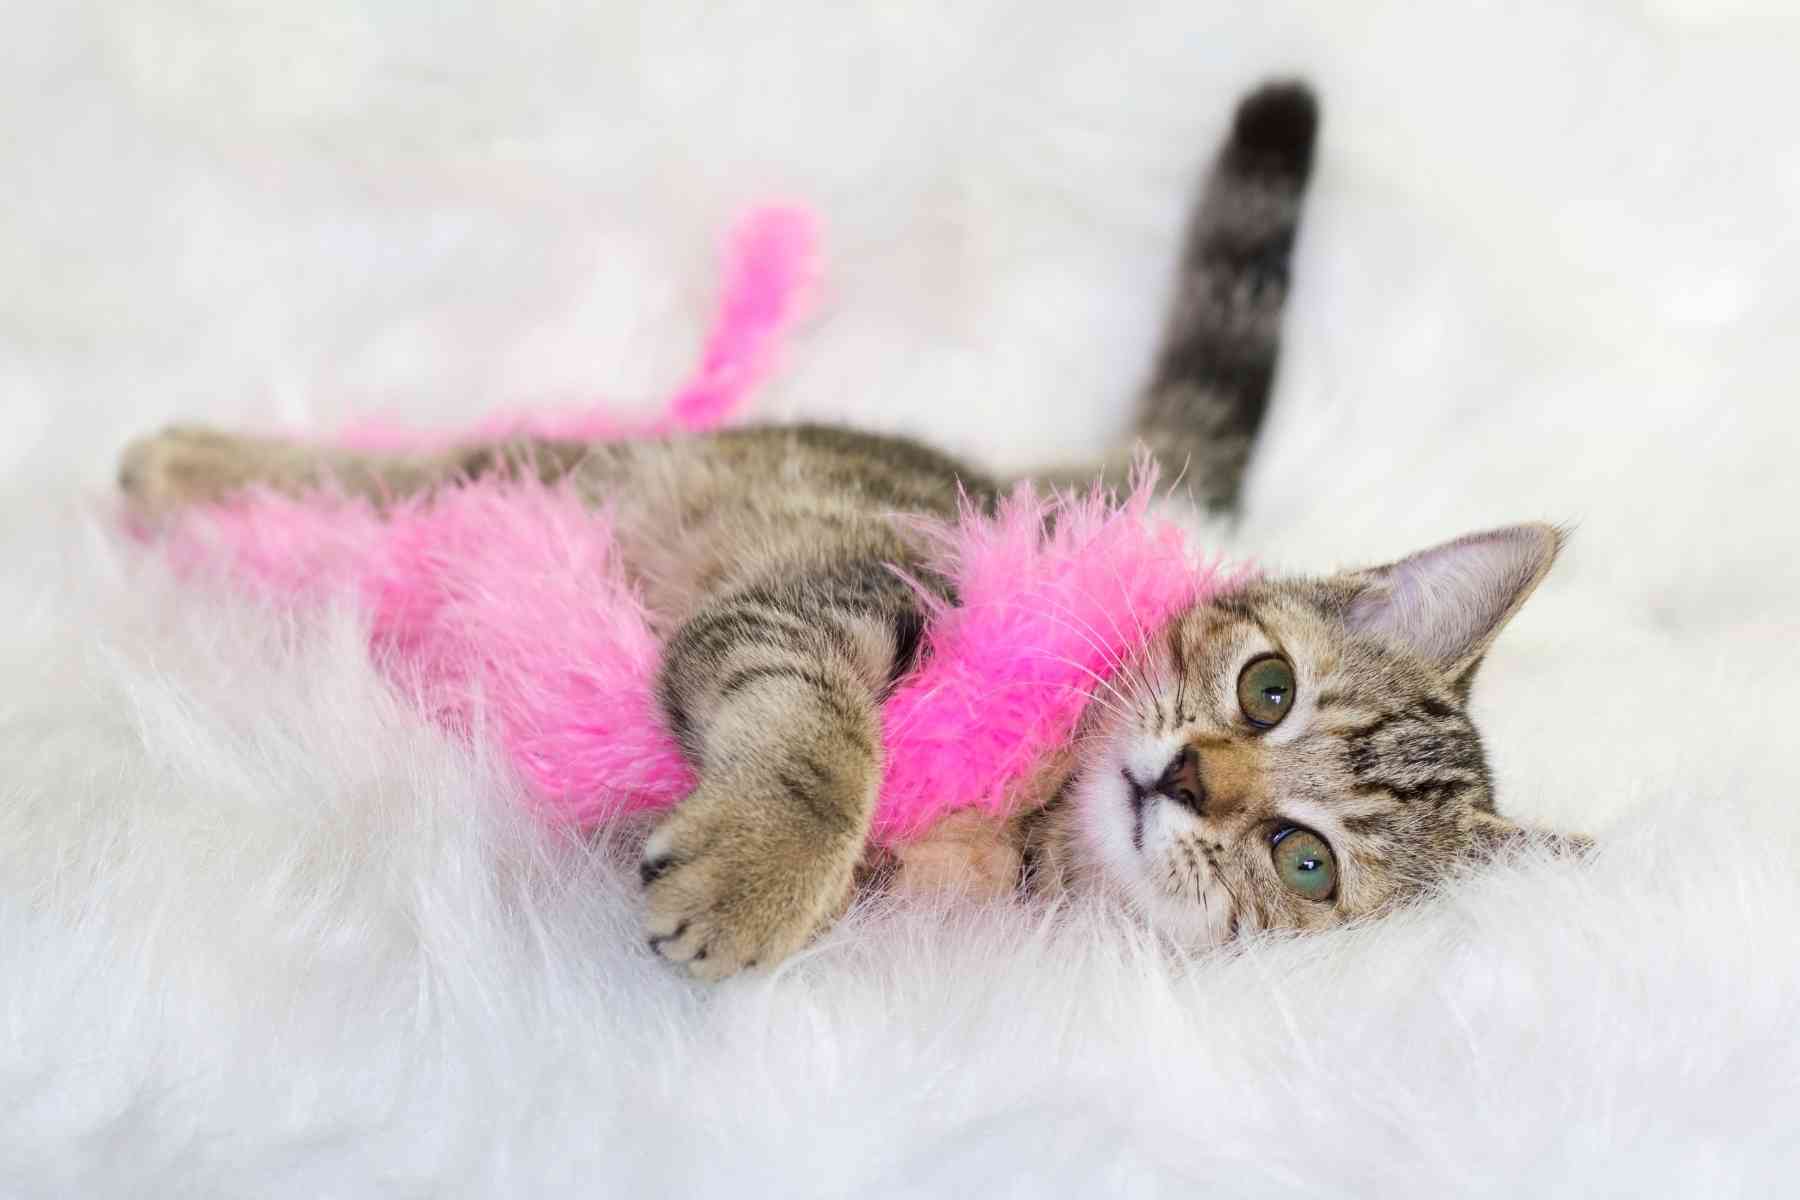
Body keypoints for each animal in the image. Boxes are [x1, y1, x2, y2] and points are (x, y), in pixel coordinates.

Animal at [119, 82, 1591, 978]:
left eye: (1305, 861)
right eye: (1267, 687)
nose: (1189, 779)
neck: (1037, 803)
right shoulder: (852, 582)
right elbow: (824, 735)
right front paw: (768, 866)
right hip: (569, 469)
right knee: (398, 477)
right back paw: (183, 467)